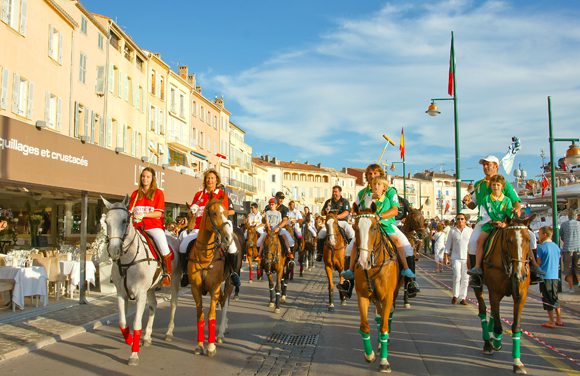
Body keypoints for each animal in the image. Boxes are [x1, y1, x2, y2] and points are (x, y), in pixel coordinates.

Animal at [101, 195, 180, 366]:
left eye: (125, 220)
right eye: (106, 221)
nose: (114, 250)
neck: (127, 260)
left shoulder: (140, 295)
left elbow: (136, 323)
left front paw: (134, 355)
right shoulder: (121, 294)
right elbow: (123, 323)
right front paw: (130, 340)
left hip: (175, 282)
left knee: (173, 304)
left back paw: (169, 332)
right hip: (151, 288)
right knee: (153, 306)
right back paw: (147, 337)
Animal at [188, 198, 238, 356]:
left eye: (227, 213)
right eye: (214, 213)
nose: (227, 238)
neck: (205, 256)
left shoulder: (214, 287)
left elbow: (211, 315)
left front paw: (210, 346)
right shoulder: (195, 289)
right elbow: (200, 315)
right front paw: (199, 345)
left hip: (229, 283)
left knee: (225, 303)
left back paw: (221, 332)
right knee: (221, 301)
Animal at [354, 206, 404, 374]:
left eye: (374, 228)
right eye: (355, 227)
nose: (363, 261)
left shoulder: (387, 297)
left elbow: (384, 327)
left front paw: (384, 361)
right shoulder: (362, 296)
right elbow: (365, 326)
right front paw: (369, 355)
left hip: (392, 295)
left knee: (386, 317)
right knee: (379, 316)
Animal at [476, 216, 536, 374]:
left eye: (528, 240)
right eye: (509, 240)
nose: (520, 274)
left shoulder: (521, 295)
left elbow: (516, 327)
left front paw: (517, 363)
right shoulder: (494, 292)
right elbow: (498, 325)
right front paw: (497, 341)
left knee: (492, 312)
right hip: (479, 287)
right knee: (483, 310)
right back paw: (488, 342)